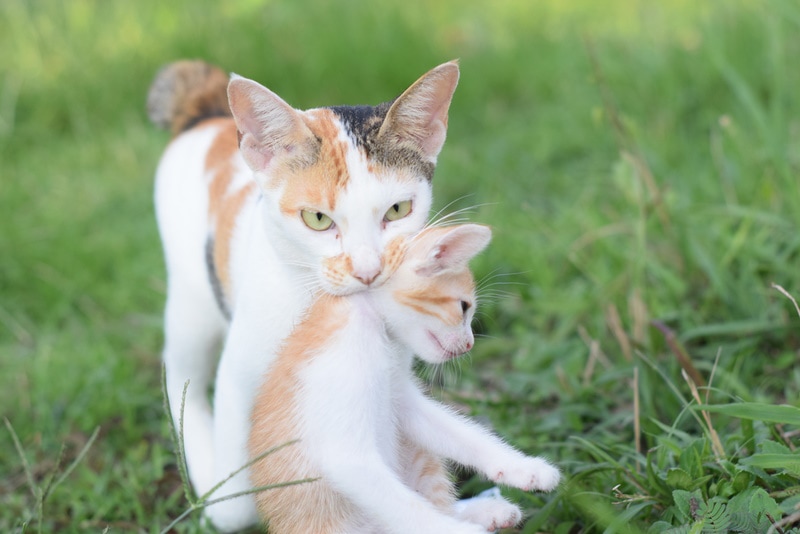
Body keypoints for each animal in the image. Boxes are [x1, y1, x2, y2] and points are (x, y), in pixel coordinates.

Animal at [148, 59, 460, 532]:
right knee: (179, 372)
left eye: (398, 210)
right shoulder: (240, 376)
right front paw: (220, 492)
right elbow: (236, 504)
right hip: (191, 301)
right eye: (317, 219)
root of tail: (205, 112)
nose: (367, 271)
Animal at [252, 224, 564, 532]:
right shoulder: (344, 434)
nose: (469, 344)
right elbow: (404, 506)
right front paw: (456, 531)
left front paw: (523, 467)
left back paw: (485, 510)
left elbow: (460, 433)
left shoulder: (401, 398)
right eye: (464, 307)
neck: (376, 326)